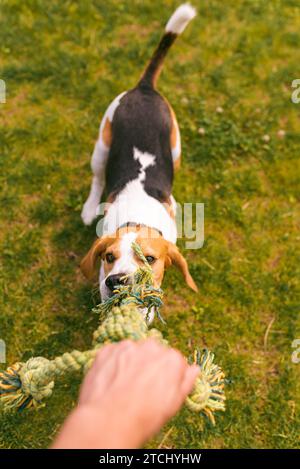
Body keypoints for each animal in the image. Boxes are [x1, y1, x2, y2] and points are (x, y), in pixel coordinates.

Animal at [80, 3, 197, 312]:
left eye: (150, 259)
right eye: (109, 257)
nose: (116, 281)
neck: (138, 219)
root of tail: (144, 88)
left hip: (176, 148)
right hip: (102, 145)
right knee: (97, 178)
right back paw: (89, 207)